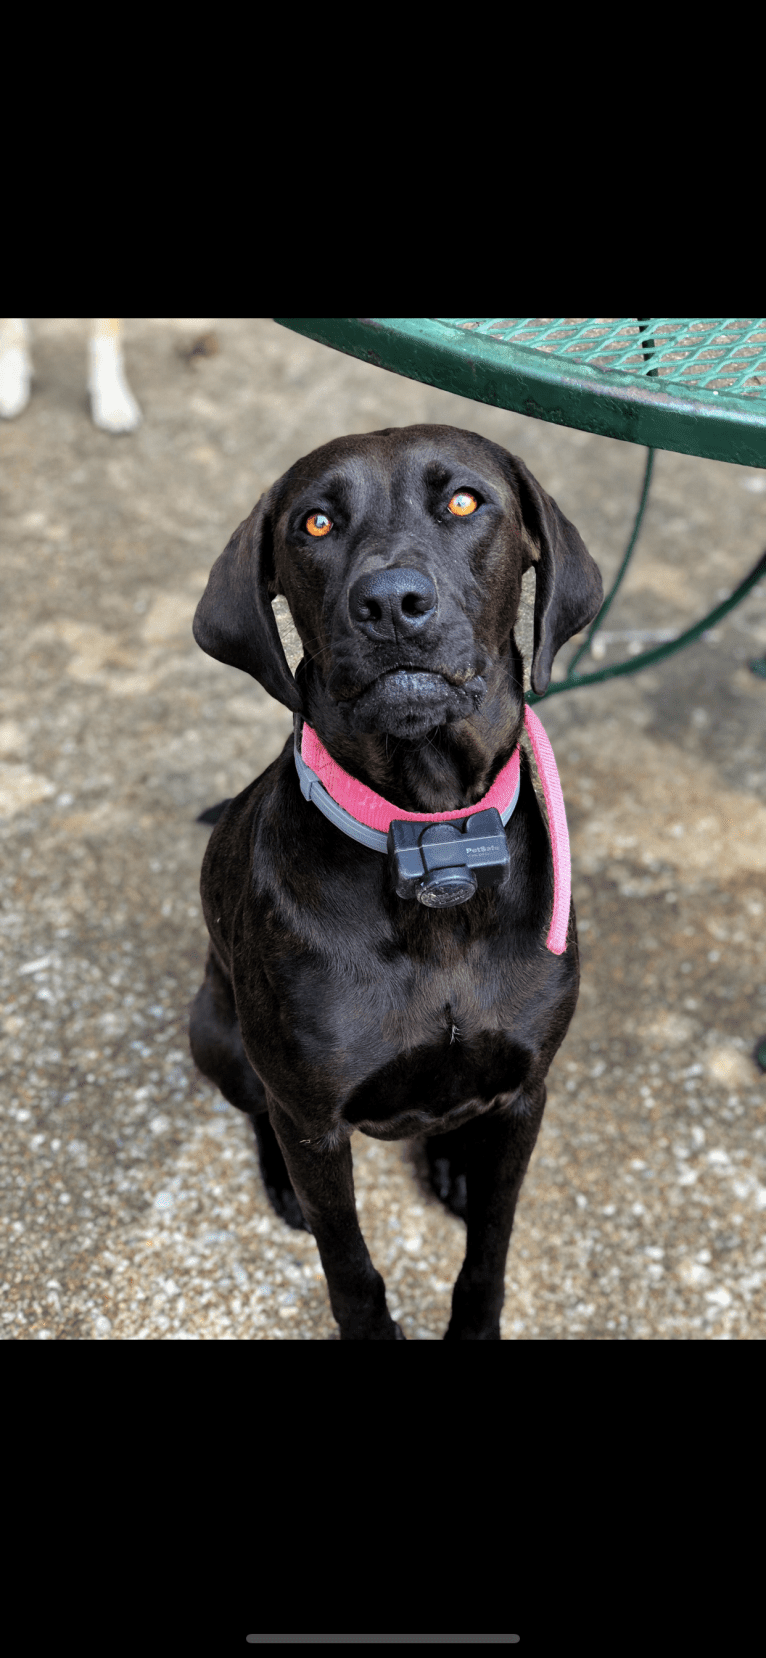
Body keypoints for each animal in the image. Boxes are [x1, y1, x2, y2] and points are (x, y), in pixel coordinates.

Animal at [188, 421, 600, 1339]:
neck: (433, 839)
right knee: (258, 1109)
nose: (390, 602)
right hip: (216, 1036)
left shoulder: (528, 1097)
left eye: (465, 502)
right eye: (313, 523)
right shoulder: (314, 1119)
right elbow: (349, 1265)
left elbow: (490, 1247)